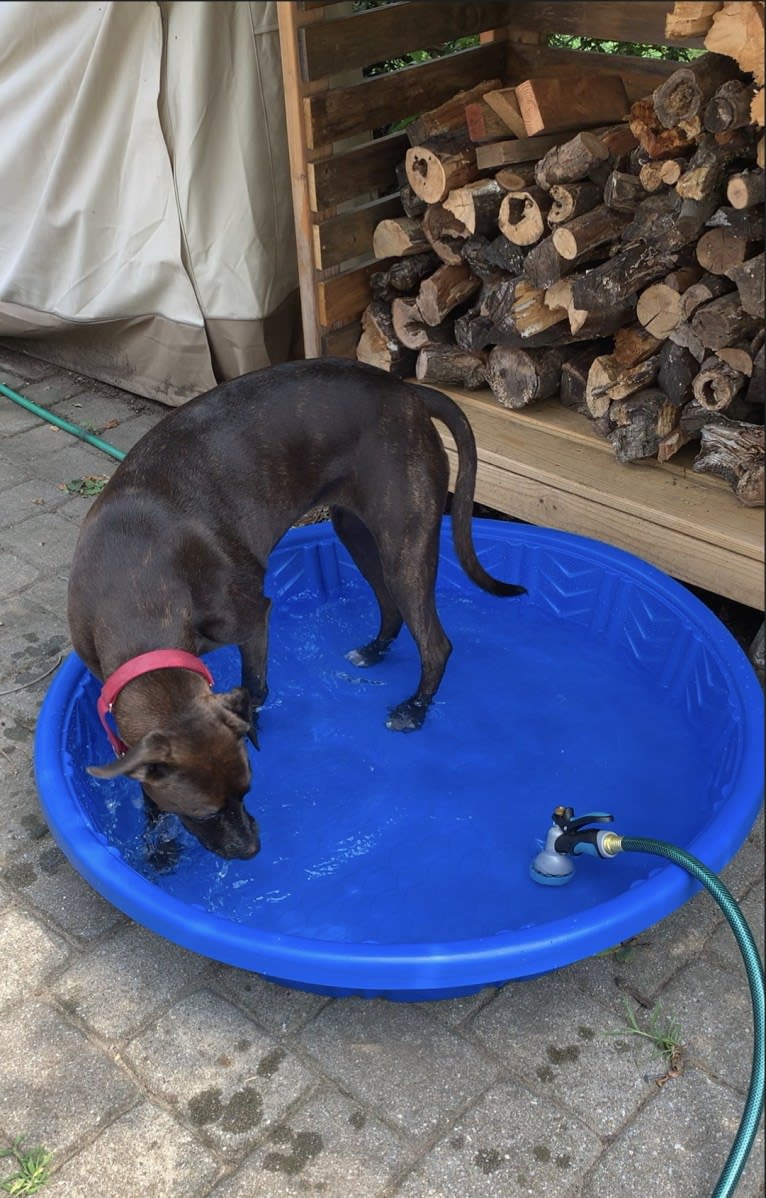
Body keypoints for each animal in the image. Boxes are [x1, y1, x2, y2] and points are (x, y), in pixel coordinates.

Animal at [68, 357, 525, 862]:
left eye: (247, 790)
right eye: (204, 813)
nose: (252, 850)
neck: (133, 581)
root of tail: (404, 389)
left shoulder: (253, 619)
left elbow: (255, 686)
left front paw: (254, 720)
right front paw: (157, 843)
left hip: (403, 545)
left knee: (436, 644)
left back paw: (414, 710)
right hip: (355, 531)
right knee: (391, 608)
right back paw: (375, 651)